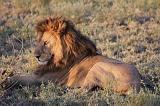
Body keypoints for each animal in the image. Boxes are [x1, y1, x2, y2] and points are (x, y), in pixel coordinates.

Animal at [8, 16, 142, 94]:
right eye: (38, 42)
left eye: (45, 43)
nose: (36, 56)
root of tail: (137, 84)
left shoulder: (42, 78)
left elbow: (20, 78)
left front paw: (6, 80)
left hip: (97, 67)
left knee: (84, 90)